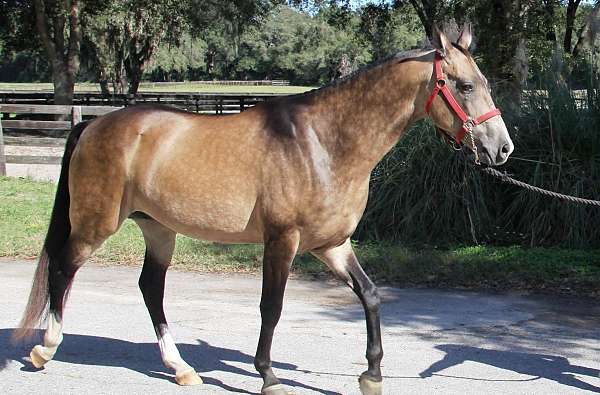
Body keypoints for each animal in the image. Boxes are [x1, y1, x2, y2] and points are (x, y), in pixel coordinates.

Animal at [14, 25, 510, 395]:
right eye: (465, 86)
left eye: (485, 84)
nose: (501, 148)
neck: (323, 143)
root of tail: (93, 123)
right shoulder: (282, 241)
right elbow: (271, 306)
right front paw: (268, 375)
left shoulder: (332, 245)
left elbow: (369, 295)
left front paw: (371, 374)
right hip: (96, 224)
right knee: (62, 268)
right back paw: (45, 349)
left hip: (158, 230)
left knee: (150, 288)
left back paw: (181, 368)